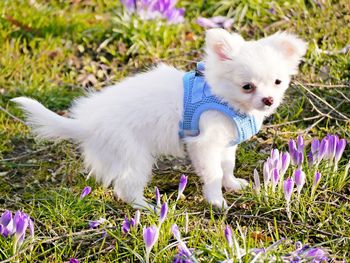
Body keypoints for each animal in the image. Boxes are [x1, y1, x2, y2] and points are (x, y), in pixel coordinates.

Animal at [11, 28, 306, 210]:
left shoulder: (225, 143)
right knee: (125, 189)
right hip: (134, 157)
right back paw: (148, 208)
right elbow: (212, 174)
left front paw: (232, 185)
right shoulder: (204, 144)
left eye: (278, 82)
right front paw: (216, 201)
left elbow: (226, 167)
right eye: (247, 87)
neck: (223, 96)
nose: (268, 100)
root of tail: (85, 125)